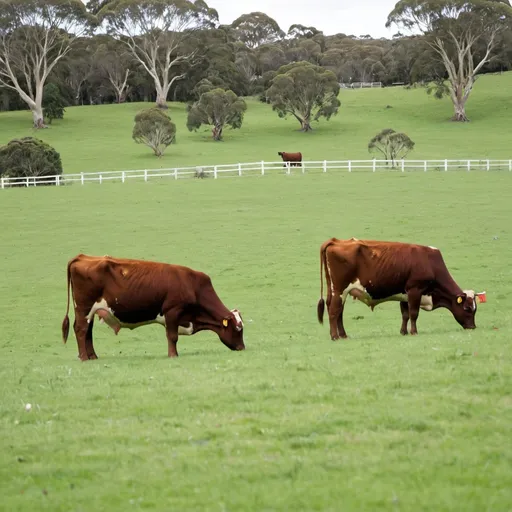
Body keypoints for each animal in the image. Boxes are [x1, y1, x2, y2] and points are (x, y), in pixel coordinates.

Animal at [62, 253, 246, 360]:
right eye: (238, 329)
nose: (242, 348)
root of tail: (82, 257)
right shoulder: (172, 311)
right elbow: (172, 336)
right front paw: (173, 355)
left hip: (90, 311)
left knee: (87, 331)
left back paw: (92, 356)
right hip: (84, 308)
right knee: (80, 329)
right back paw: (84, 357)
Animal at [318, 237, 486, 340]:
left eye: (475, 308)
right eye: (467, 308)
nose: (472, 327)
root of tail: (335, 241)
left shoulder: (405, 294)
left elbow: (405, 314)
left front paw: (403, 332)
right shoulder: (415, 290)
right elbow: (413, 313)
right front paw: (414, 332)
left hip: (336, 291)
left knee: (338, 311)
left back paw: (343, 335)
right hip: (340, 290)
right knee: (334, 312)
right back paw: (335, 336)